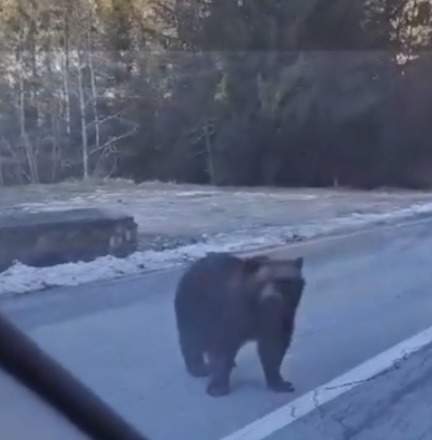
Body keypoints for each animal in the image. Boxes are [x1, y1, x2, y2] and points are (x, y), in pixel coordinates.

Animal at [174, 251, 306, 398]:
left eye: (284, 282)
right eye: (263, 282)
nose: (272, 298)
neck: (260, 309)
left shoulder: (279, 319)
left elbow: (273, 348)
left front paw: (279, 383)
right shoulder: (232, 314)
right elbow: (221, 349)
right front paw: (217, 386)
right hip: (193, 309)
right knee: (192, 339)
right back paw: (198, 367)